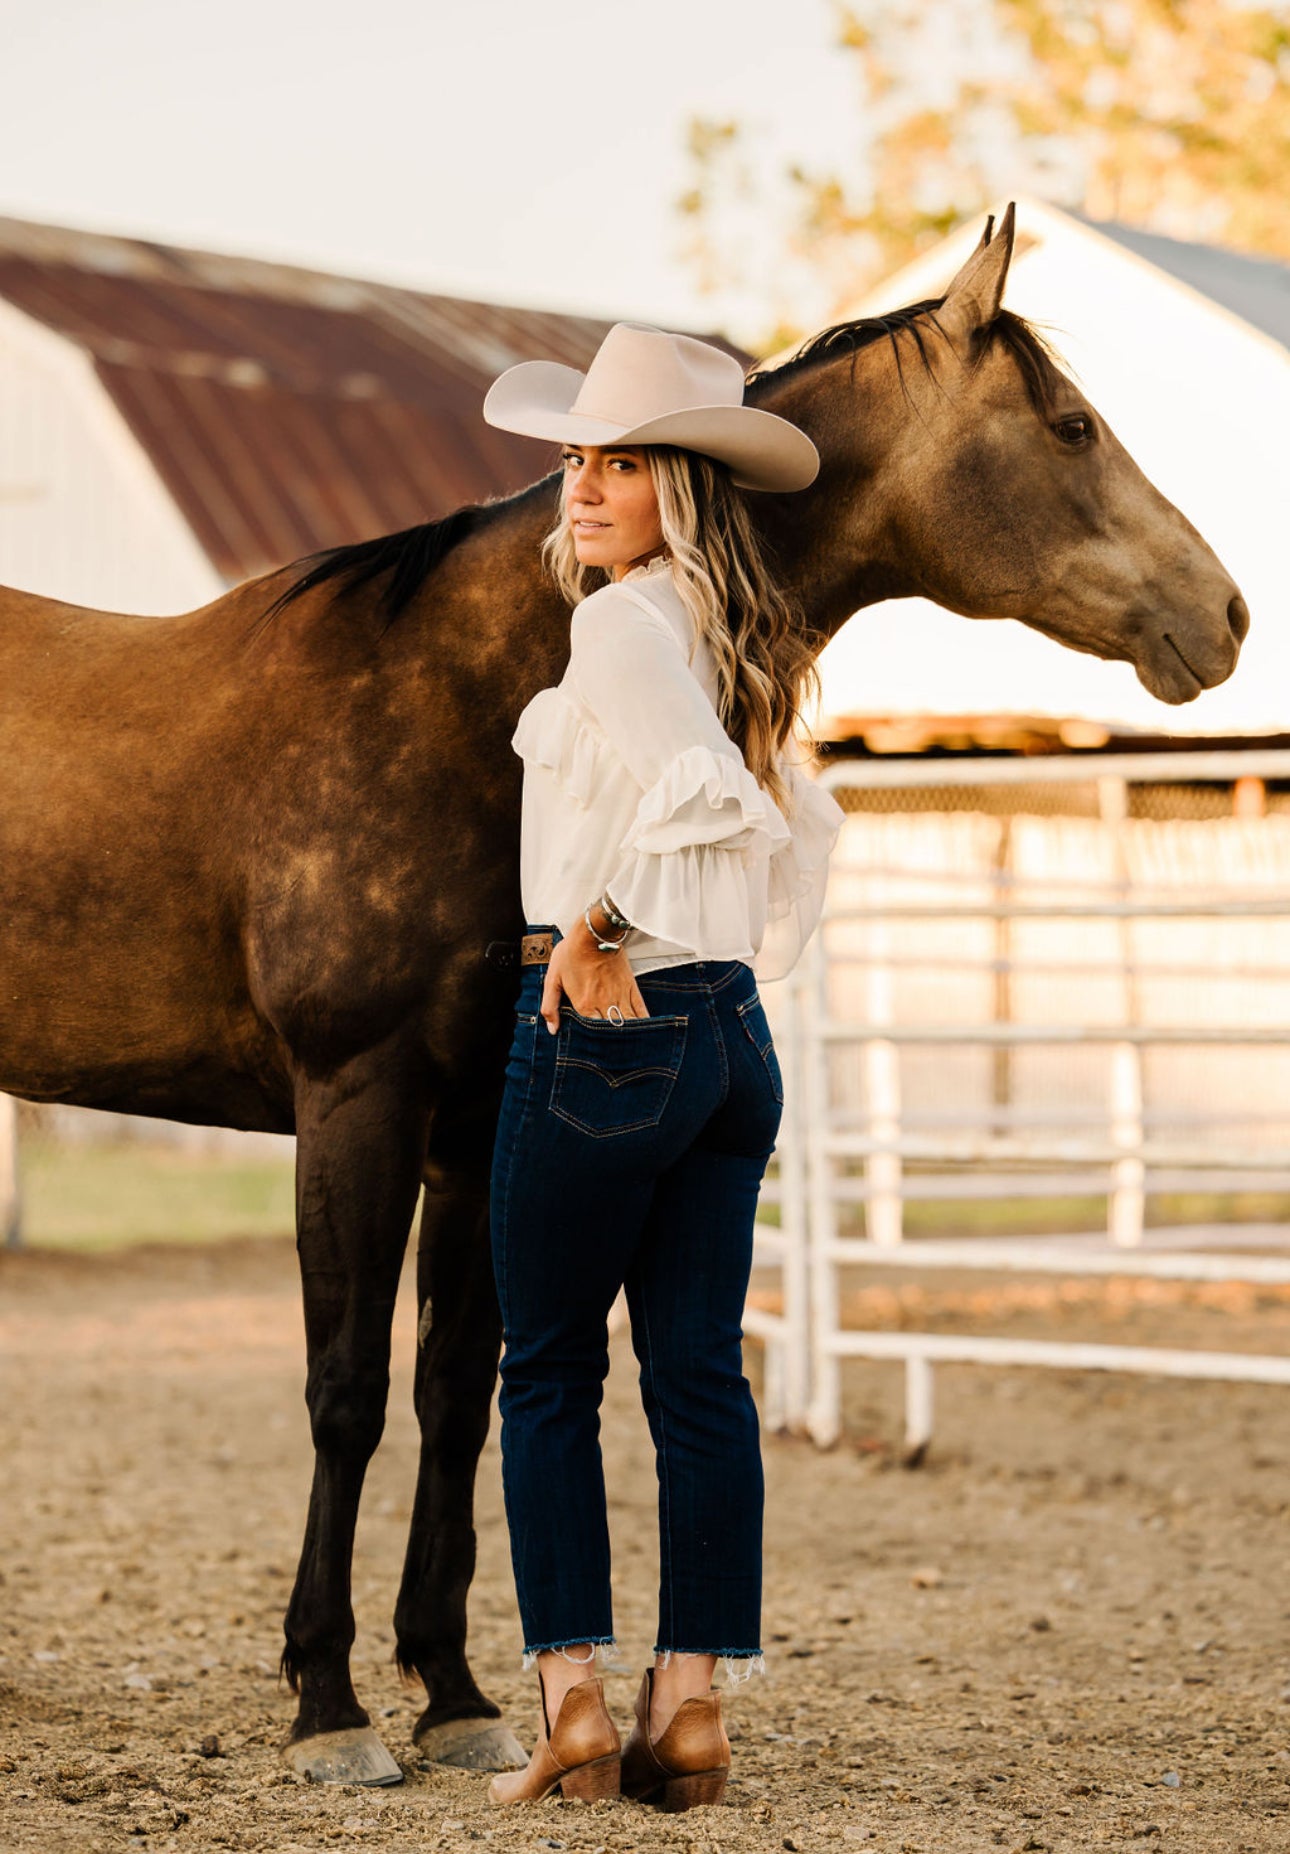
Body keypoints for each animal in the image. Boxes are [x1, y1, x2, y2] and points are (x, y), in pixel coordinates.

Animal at [0, 206, 1252, 1779]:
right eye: (1073, 426)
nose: (1226, 614)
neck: (446, 701)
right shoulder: (355, 1102)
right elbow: (347, 1392)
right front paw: (329, 1703)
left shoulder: (473, 1125)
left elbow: (458, 1383)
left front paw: (455, 1692)